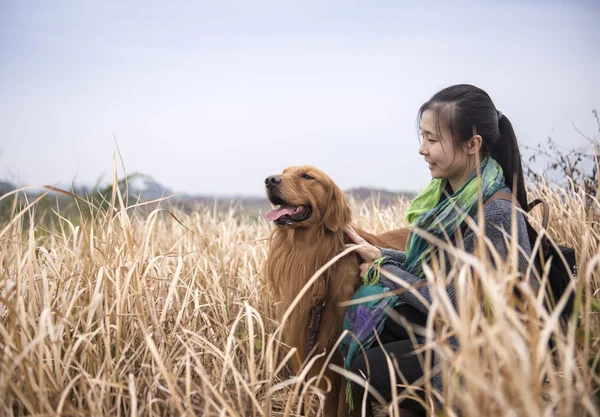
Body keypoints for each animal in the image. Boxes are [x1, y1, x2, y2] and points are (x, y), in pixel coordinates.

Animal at [264, 164, 408, 414]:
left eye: (307, 176)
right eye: (284, 171)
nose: (270, 180)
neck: (314, 257)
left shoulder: (343, 354)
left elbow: (344, 406)